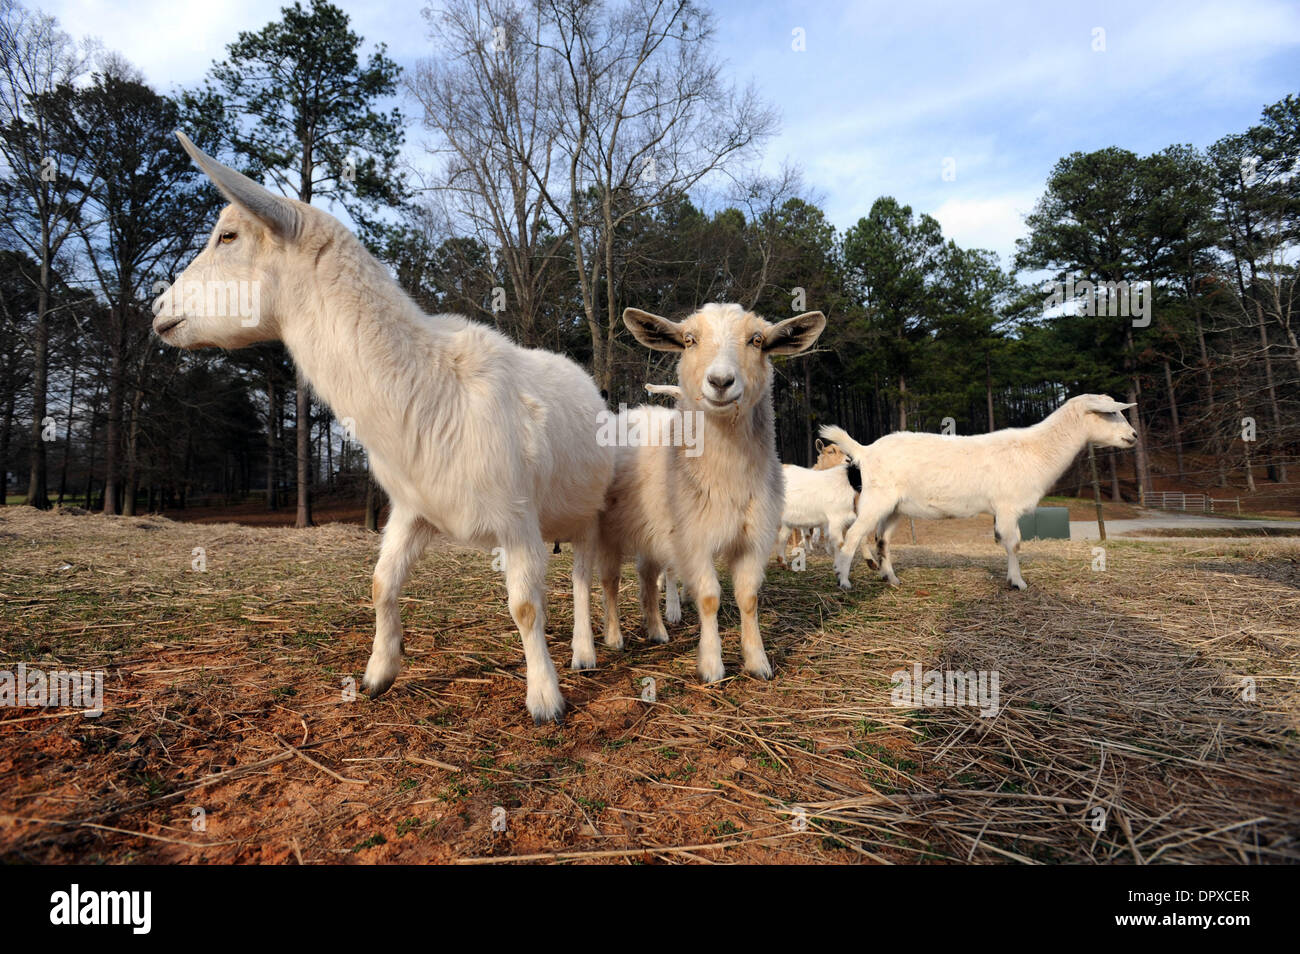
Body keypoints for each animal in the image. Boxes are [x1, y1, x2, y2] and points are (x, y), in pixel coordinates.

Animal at [153, 130, 613, 722]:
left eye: (228, 235)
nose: (158, 309)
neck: (428, 384)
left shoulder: (515, 517)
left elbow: (526, 605)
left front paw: (545, 698)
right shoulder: (411, 508)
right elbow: (381, 583)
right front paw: (378, 673)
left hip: (588, 508)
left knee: (581, 576)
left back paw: (583, 653)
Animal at [590, 302, 821, 686]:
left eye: (757, 340)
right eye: (689, 339)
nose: (720, 382)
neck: (728, 476)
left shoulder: (753, 536)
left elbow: (748, 597)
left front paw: (758, 662)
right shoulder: (692, 537)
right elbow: (710, 597)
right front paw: (712, 666)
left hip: (654, 529)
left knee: (647, 576)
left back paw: (656, 630)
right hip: (609, 530)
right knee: (610, 581)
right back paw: (613, 637)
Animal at [821, 395, 1138, 590]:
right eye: (1110, 412)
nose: (1134, 436)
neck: (1036, 450)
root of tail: (865, 450)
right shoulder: (1008, 507)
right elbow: (1014, 544)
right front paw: (1017, 582)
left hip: (895, 506)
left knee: (882, 540)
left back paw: (891, 578)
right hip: (876, 499)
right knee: (852, 535)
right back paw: (843, 580)